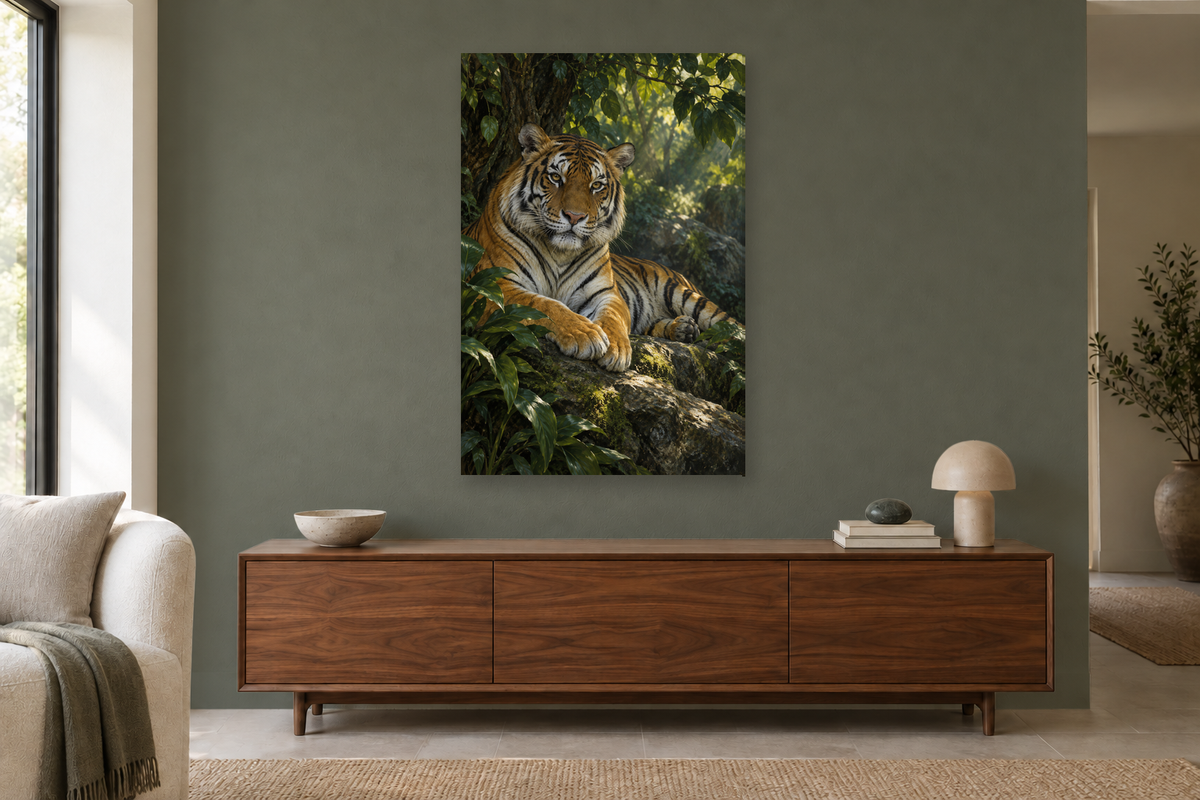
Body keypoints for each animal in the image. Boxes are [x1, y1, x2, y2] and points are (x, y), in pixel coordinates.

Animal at [464, 123, 739, 373]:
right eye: (556, 177)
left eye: (596, 185)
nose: (574, 216)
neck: (559, 253)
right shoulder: (492, 284)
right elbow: (545, 305)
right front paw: (584, 333)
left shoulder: (607, 292)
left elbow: (613, 318)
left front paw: (616, 349)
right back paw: (684, 329)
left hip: (685, 295)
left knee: (733, 328)